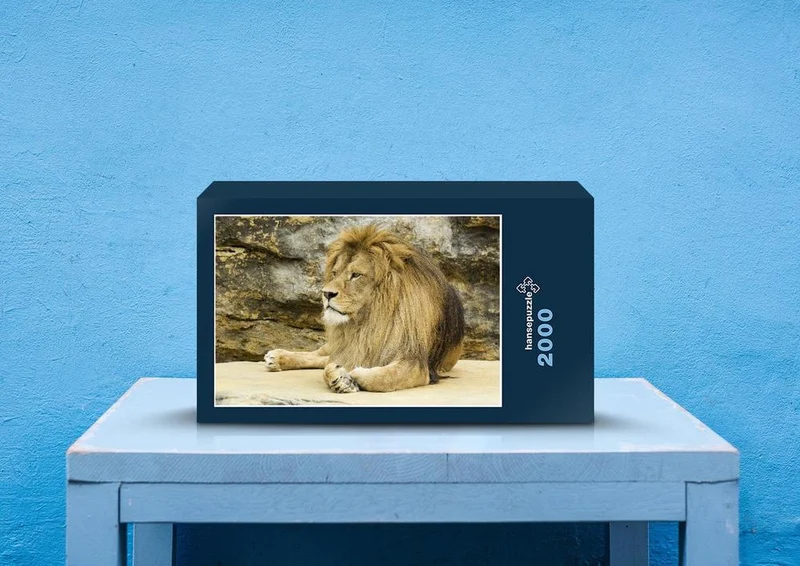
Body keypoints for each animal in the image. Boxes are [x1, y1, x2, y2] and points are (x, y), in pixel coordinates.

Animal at [263, 224, 465, 393]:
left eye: (356, 275)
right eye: (334, 273)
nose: (326, 294)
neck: (369, 320)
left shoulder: (416, 364)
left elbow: (380, 377)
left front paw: (348, 377)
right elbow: (329, 366)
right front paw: (342, 377)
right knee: (319, 355)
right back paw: (277, 356)